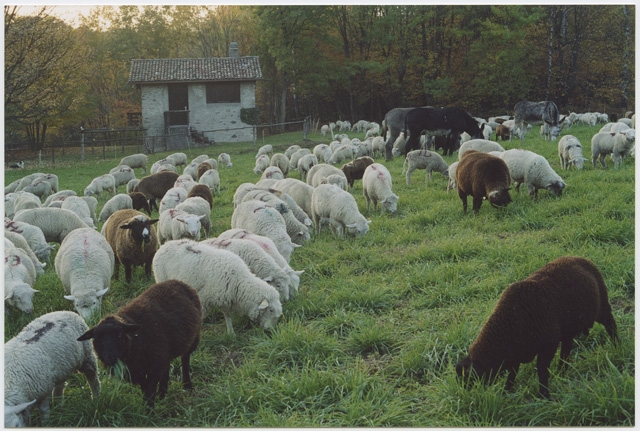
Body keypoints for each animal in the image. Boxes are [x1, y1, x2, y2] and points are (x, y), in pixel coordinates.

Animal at [152, 240, 282, 336]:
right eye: (271, 310)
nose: (271, 331)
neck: (239, 281)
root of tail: (164, 245)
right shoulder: (203, 300)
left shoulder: (225, 298)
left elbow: (227, 316)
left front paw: (231, 333)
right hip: (161, 279)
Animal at [456, 256, 618, 399]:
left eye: (469, 379)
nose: (466, 396)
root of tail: (580, 258)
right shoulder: (516, 353)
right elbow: (512, 374)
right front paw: (506, 392)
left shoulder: (548, 345)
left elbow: (541, 370)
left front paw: (544, 395)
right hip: (567, 329)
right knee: (566, 348)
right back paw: (561, 372)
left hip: (602, 308)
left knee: (611, 325)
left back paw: (617, 346)